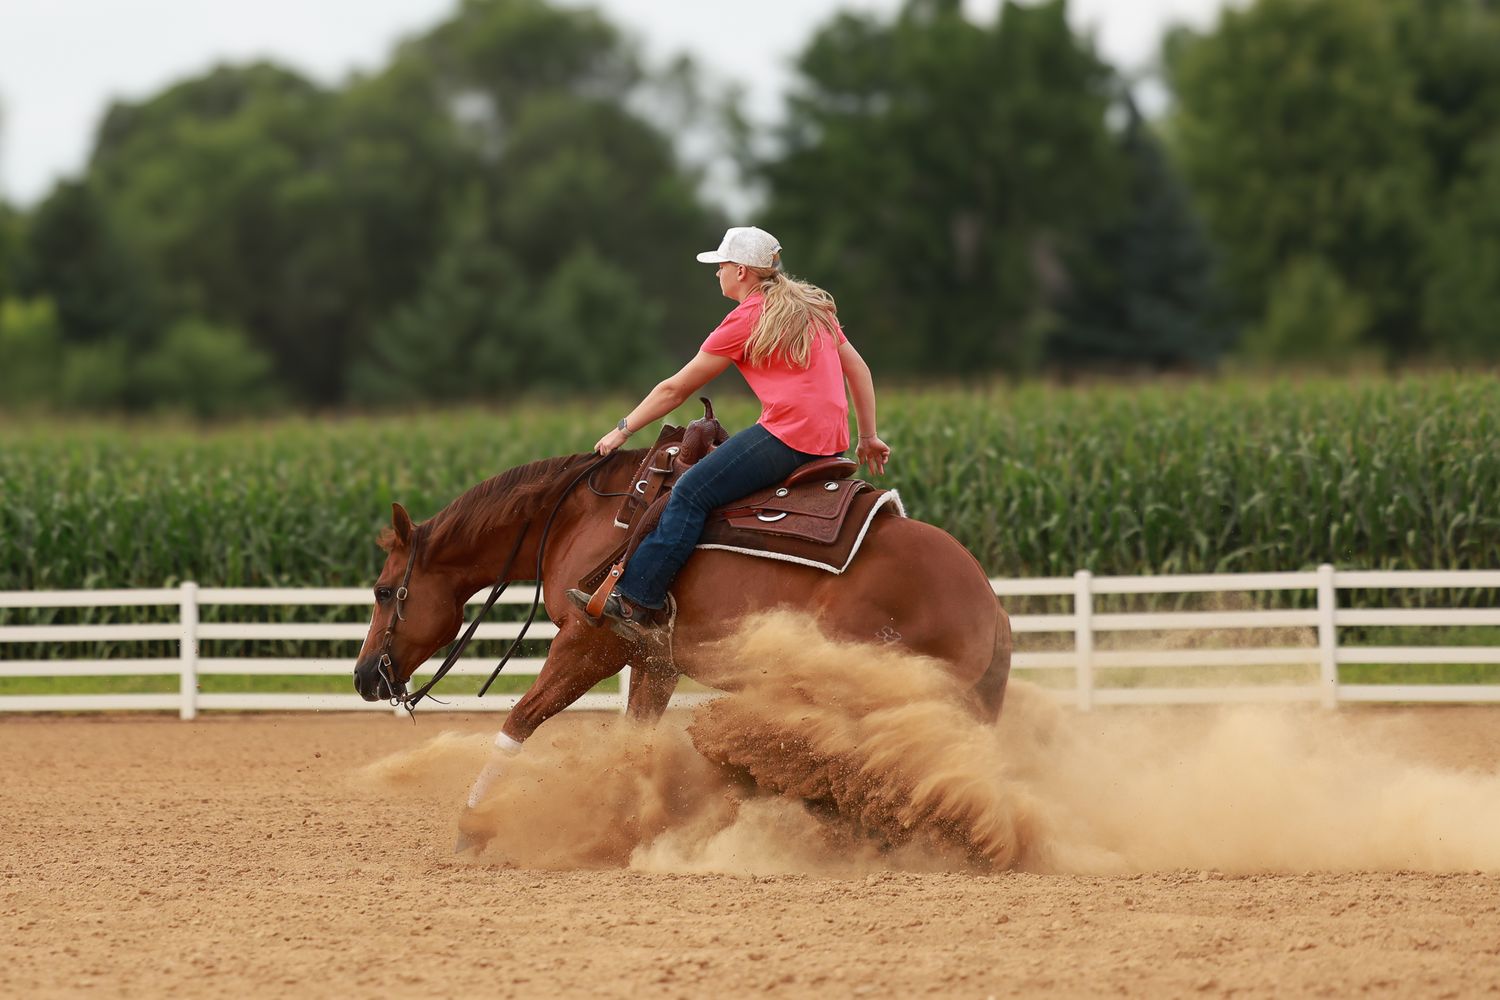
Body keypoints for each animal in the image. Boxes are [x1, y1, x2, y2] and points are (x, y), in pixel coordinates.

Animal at [352, 439, 1012, 834]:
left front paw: (471, 824)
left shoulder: (592, 642)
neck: (583, 517)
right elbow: (636, 739)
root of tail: (986, 600)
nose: (363, 677)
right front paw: (632, 820)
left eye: (383, 591)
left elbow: (521, 719)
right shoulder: (653, 659)